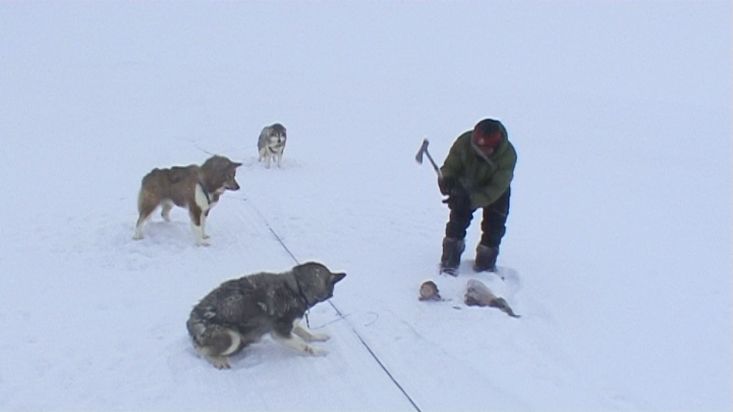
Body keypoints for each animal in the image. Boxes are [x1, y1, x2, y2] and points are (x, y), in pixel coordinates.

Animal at [186, 262, 346, 368]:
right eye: (332, 289)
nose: (332, 295)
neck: (297, 288)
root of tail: (190, 320)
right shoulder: (280, 333)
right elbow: (304, 345)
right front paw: (319, 351)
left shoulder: (290, 324)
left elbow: (306, 333)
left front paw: (319, 336)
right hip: (232, 336)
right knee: (203, 351)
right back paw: (219, 360)